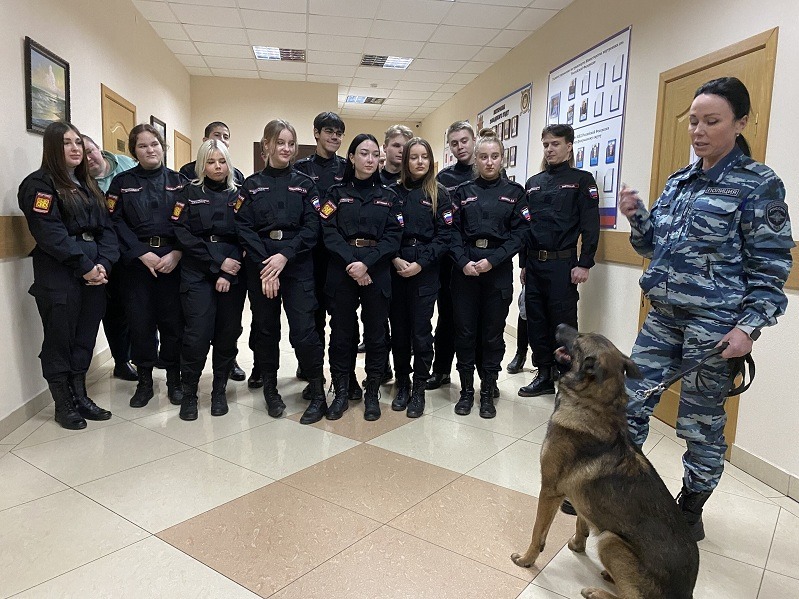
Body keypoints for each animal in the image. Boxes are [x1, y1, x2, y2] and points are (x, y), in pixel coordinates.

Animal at [516, 326, 696, 596]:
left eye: (579, 339)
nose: (559, 327)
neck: (593, 404)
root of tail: (686, 593)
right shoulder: (580, 496)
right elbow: (581, 521)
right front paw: (577, 544)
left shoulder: (549, 490)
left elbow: (538, 532)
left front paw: (527, 559)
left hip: (611, 542)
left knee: (629, 595)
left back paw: (596, 591)